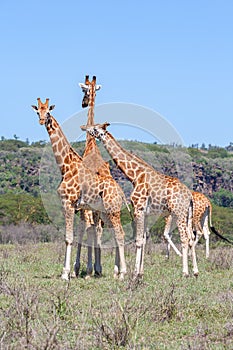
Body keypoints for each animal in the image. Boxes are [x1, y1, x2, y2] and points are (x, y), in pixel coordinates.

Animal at [31, 100, 127, 280]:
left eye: (48, 112)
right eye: (37, 112)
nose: (41, 121)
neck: (66, 166)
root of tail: (122, 193)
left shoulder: (68, 203)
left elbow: (69, 238)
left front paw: (65, 273)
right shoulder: (76, 206)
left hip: (112, 210)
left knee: (120, 234)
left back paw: (123, 273)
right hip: (105, 212)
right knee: (117, 234)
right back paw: (117, 272)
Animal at [81, 121, 198, 278]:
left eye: (95, 128)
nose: (83, 127)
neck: (135, 176)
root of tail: (189, 196)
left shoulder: (138, 208)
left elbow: (137, 240)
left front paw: (135, 272)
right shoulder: (146, 212)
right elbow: (143, 239)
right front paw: (141, 272)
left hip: (178, 213)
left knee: (184, 238)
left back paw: (185, 272)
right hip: (187, 214)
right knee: (191, 238)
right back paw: (195, 271)